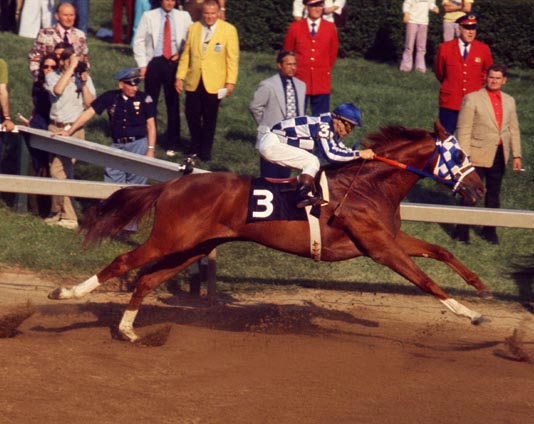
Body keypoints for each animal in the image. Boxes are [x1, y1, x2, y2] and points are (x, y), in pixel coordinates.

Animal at [50, 121, 494, 342]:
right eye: (458, 153)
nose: (479, 189)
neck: (370, 185)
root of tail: (172, 184)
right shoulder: (381, 248)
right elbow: (426, 281)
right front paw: (472, 316)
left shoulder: (390, 239)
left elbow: (440, 251)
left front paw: (480, 286)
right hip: (170, 239)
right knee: (124, 261)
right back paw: (66, 295)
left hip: (195, 247)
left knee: (145, 279)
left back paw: (128, 331)